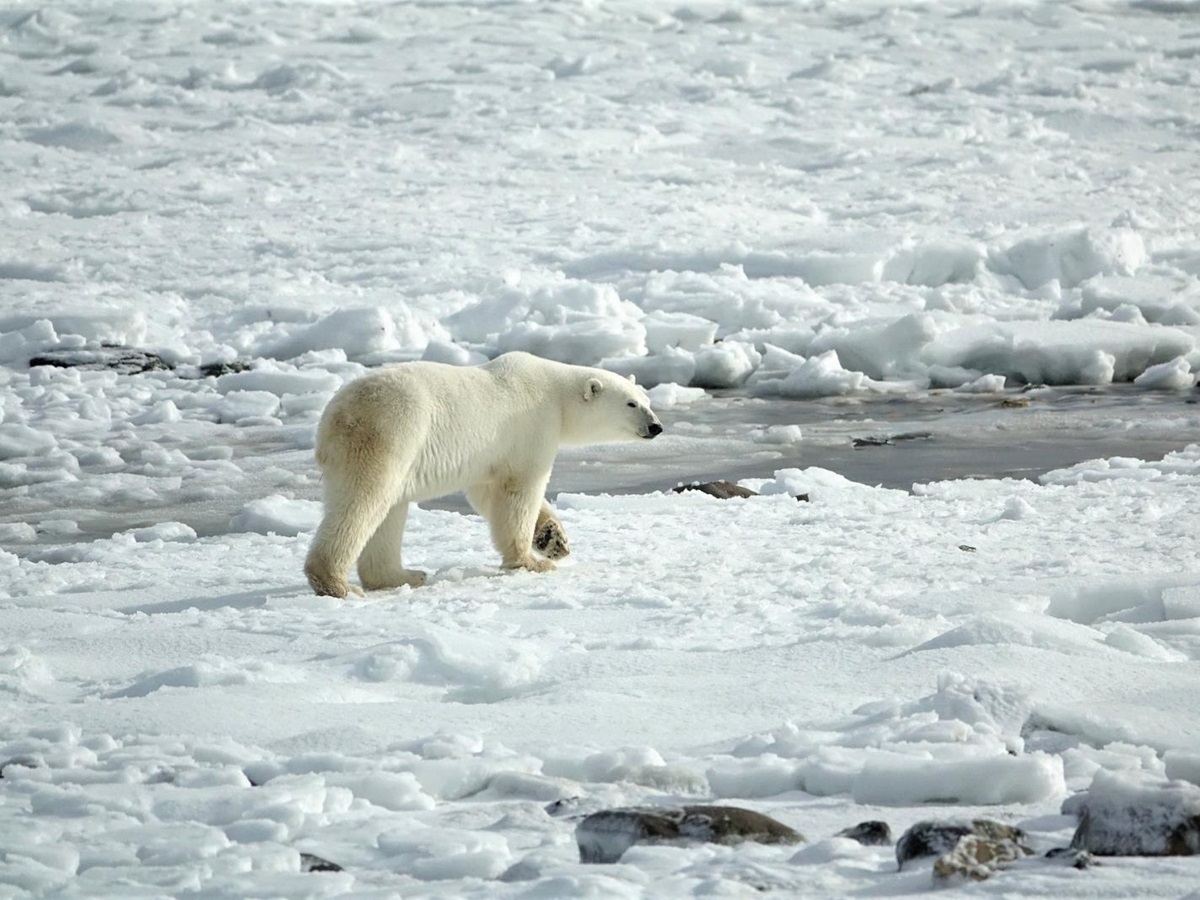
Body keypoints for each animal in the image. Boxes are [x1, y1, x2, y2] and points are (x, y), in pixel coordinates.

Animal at [303, 351, 663, 598]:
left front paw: (553, 540)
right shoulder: (531, 427)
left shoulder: (489, 455)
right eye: (631, 404)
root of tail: (334, 418)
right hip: (391, 433)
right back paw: (337, 584)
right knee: (364, 501)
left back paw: (404, 575)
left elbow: (488, 492)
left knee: (389, 510)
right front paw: (531, 561)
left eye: (647, 399)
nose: (656, 426)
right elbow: (520, 490)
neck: (556, 393)